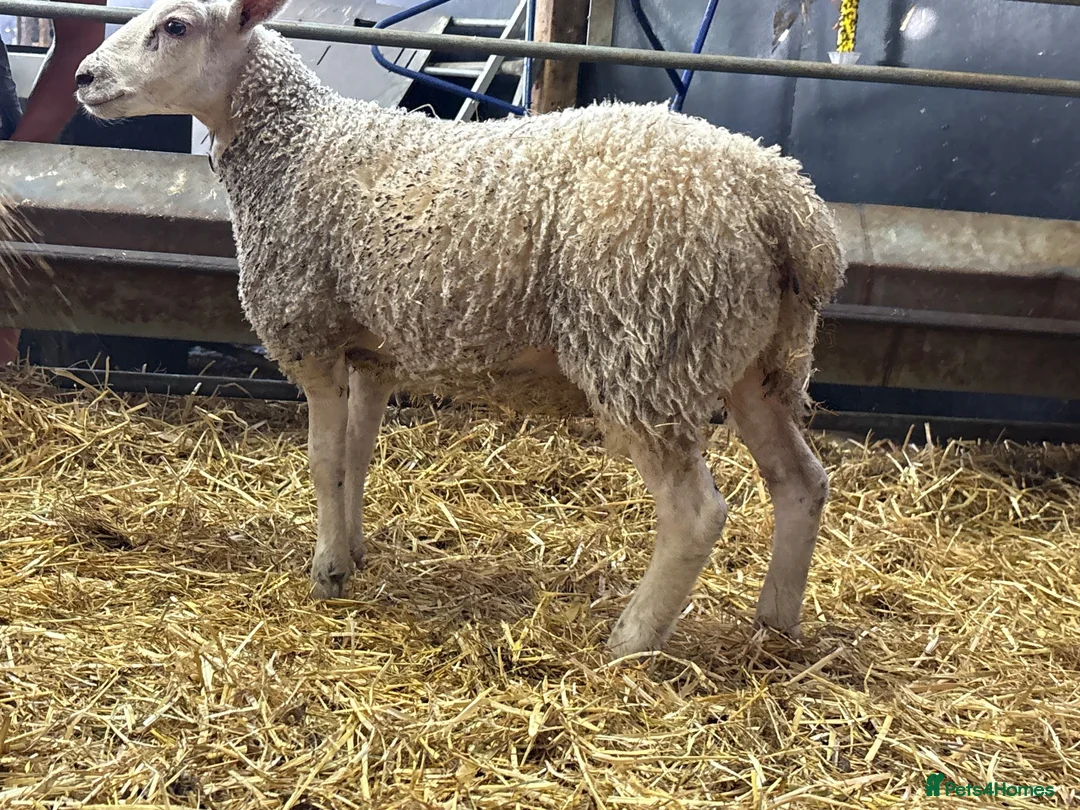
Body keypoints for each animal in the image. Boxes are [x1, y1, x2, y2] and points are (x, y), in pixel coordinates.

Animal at [74, 0, 847, 657]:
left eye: (175, 26)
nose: (83, 77)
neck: (299, 144)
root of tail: (788, 202)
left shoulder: (311, 333)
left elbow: (323, 462)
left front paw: (325, 571)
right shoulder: (372, 351)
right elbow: (357, 459)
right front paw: (353, 552)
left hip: (644, 347)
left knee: (696, 514)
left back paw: (631, 640)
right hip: (749, 355)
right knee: (801, 482)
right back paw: (776, 622)